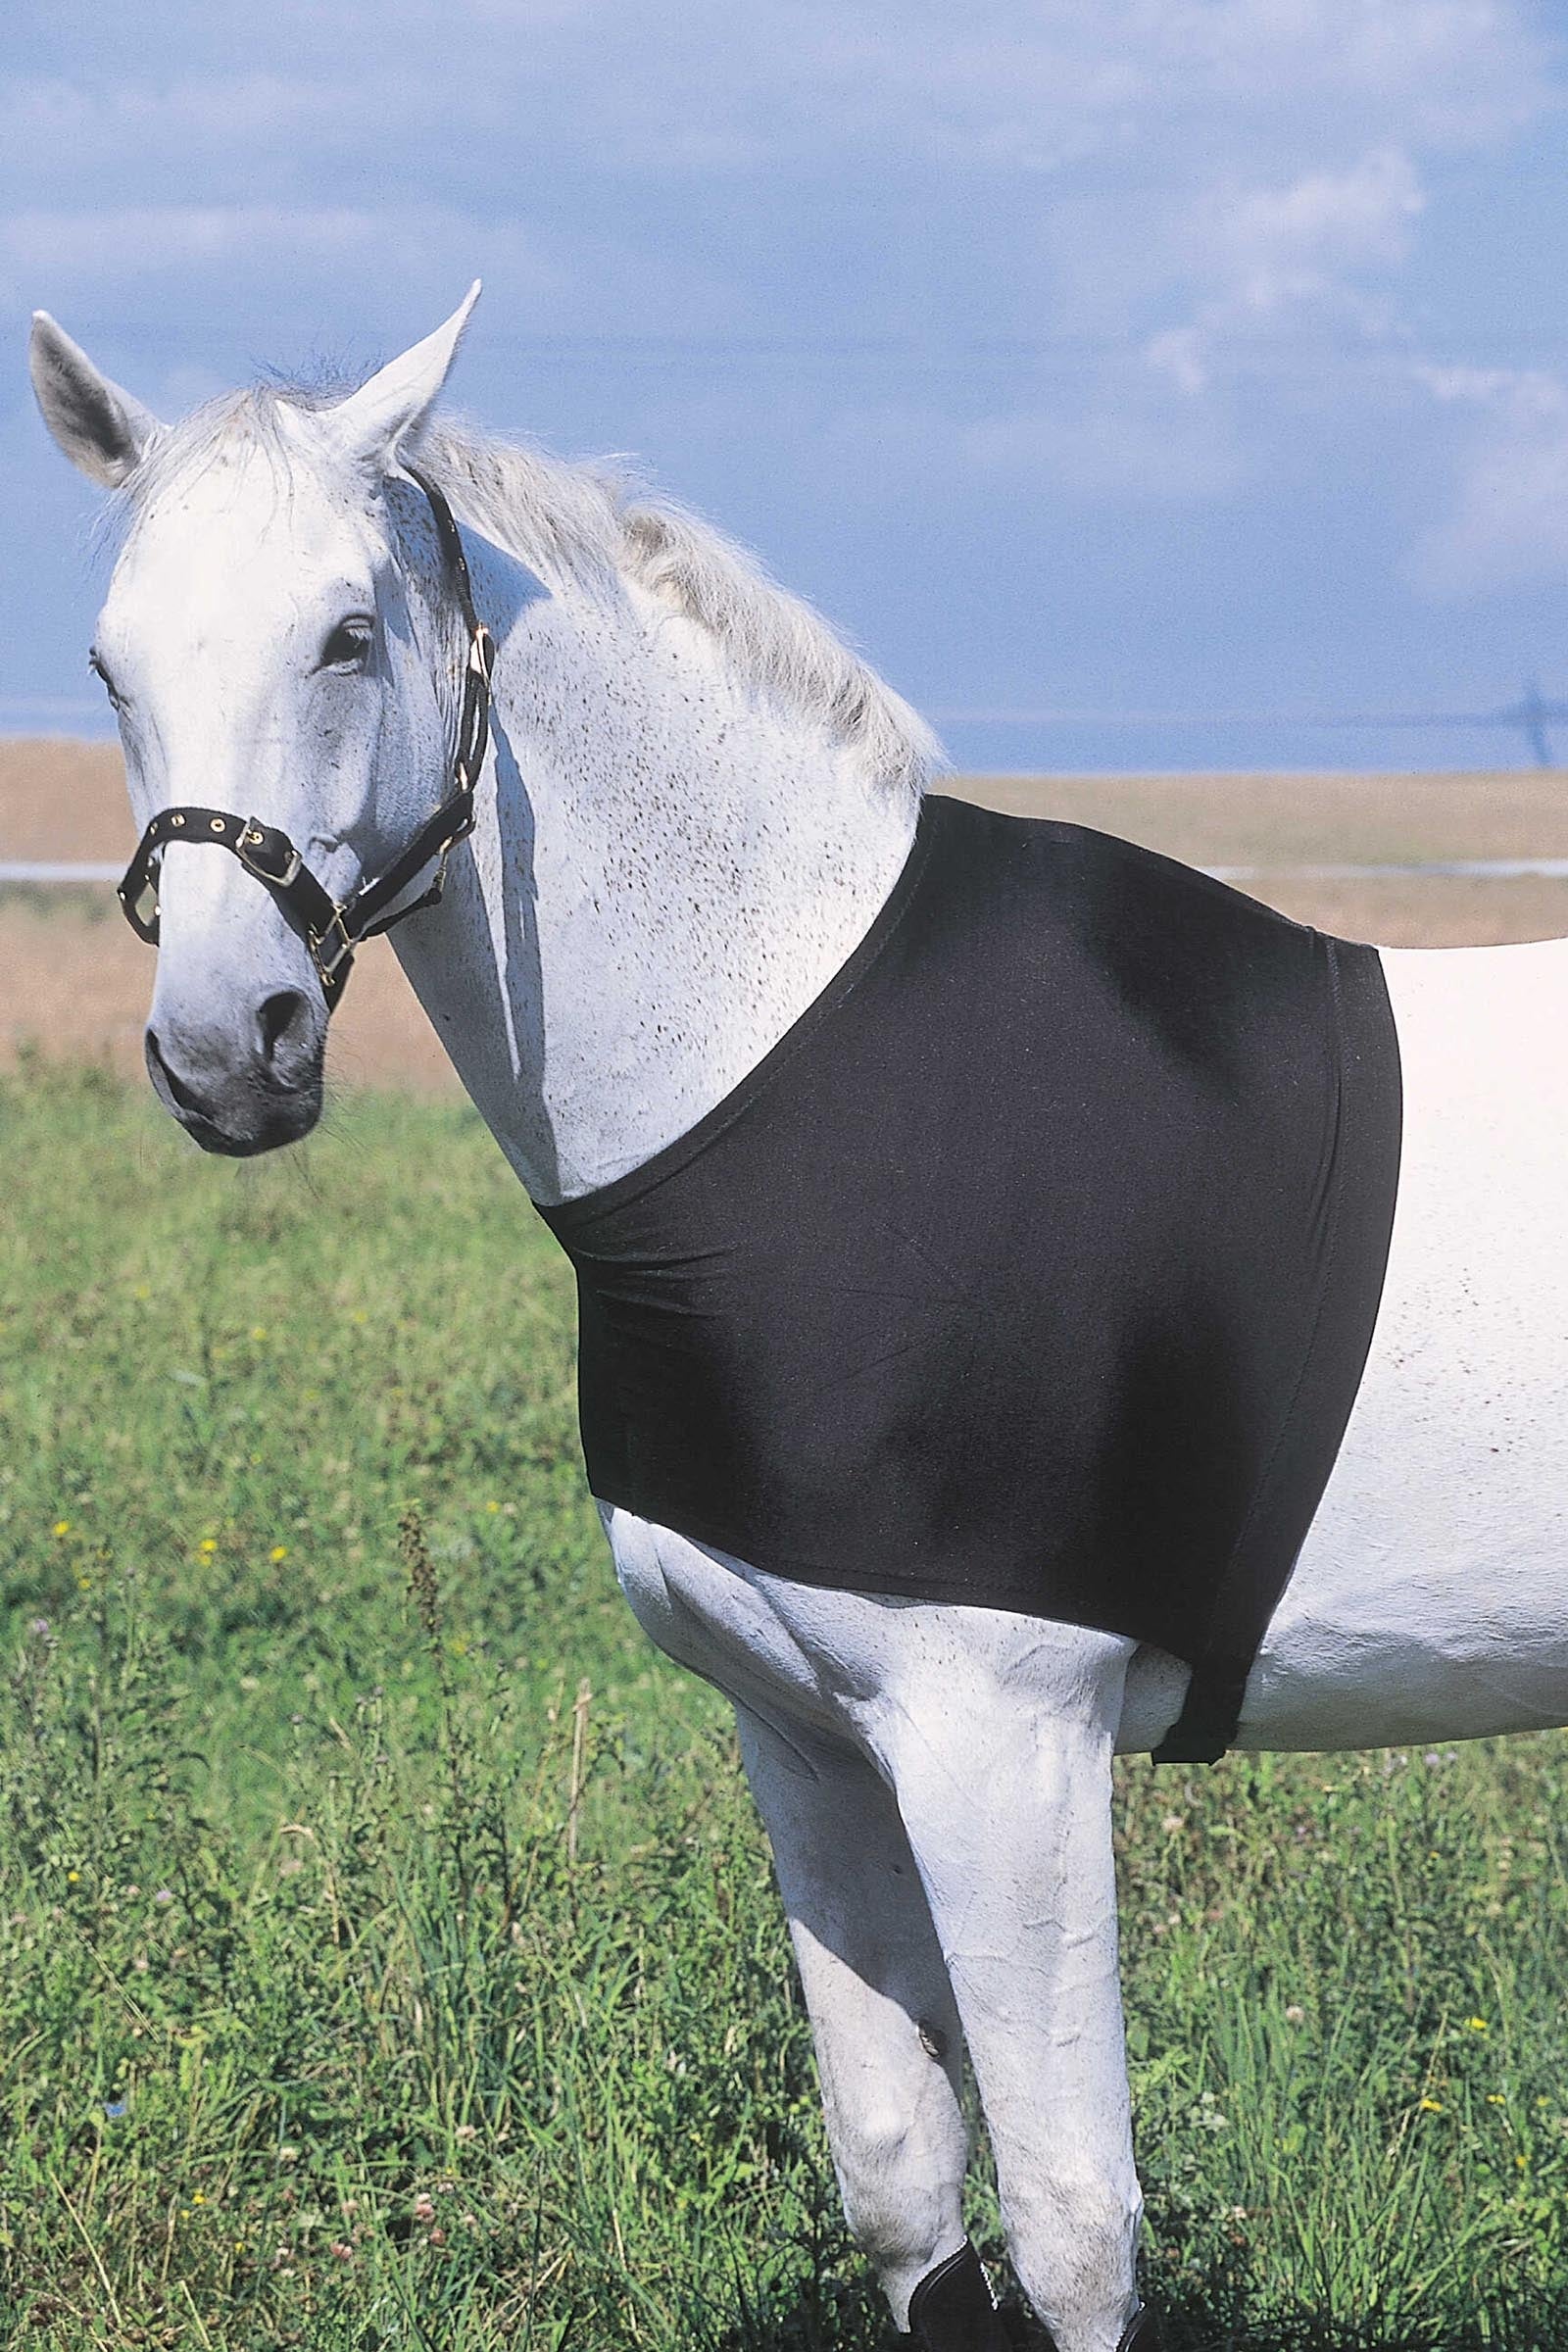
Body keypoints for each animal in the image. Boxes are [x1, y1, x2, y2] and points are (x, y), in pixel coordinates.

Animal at [27, 287, 1568, 2352]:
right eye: (109, 665)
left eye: (347, 634)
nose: (225, 1048)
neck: (789, 1055)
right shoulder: (811, 1738)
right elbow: (904, 2187)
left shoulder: (1007, 1739)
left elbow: (1074, 2222)